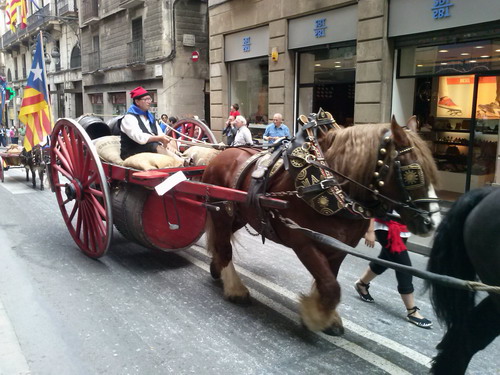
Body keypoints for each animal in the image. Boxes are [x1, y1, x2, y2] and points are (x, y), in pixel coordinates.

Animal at [201, 117, 440, 334]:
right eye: (412, 171)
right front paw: (315, 316)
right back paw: (235, 289)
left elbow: (328, 282)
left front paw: (328, 316)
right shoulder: (305, 243)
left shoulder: (339, 247)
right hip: (222, 211)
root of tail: (219, 155)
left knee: (221, 241)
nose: (432, 223)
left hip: (239, 215)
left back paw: (217, 268)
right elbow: (331, 286)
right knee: (224, 246)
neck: (329, 186)